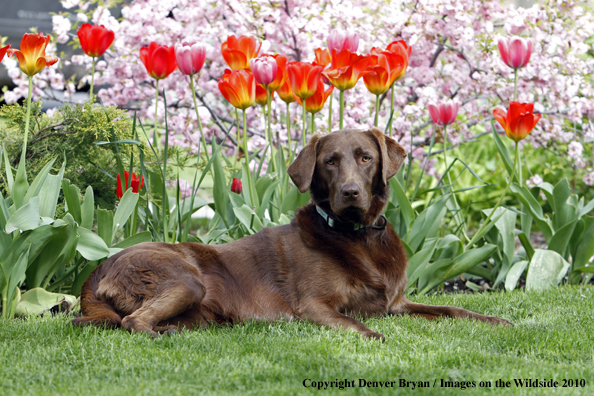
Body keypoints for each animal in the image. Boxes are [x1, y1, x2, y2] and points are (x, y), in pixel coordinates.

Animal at [73, 128, 508, 338]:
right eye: (330, 161)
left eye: (365, 158)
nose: (350, 192)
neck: (358, 237)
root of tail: (95, 271)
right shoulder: (315, 306)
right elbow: (362, 328)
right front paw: (378, 339)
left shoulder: (398, 304)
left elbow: (453, 309)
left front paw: (495, 319)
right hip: (184, 280)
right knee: (131, 322)